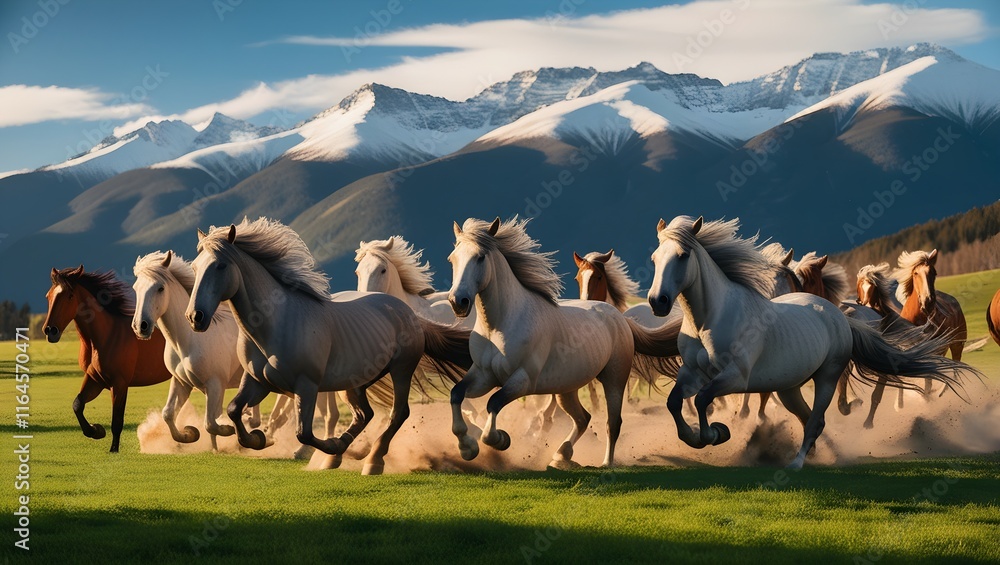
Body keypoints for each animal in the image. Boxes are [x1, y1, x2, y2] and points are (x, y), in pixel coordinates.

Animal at [42, 266, 173, 452]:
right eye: (49, 296)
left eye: (70, 296)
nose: (50, 331)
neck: (106, 336)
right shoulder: (95, 380)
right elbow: (77, 404)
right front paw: (96, 430)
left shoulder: (119, 384)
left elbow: (117, 421)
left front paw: (113, 449)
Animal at [132, 251, 263, 451]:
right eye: (135, 288)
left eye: (160, 288)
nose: (141, 326)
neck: (187, 342)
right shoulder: (181, 383)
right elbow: (168, 414)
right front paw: (189, 434)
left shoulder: (215, 385)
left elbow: (211, 422)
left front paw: (228, 431)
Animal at [185, 217, 472, 475]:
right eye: (195, 267)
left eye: (220, 265)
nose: (195, 317)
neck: (276, 323)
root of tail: (410, 314)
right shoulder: (257, 381)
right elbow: (234, 410)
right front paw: (258, 438)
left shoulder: (307, 386)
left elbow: (304, 433)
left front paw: (328, 445)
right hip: (354, 383)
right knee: (364, 414)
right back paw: (338, 454)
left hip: (401, 370)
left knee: (398, 413)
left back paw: (372, 461)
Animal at [446, 217, 680, 467]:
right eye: (452, 258)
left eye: (480, 257)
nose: (458, 302)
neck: (500, 325)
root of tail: (620, 318)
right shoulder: (483, 375)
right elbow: (456, 394)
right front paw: (467, 447)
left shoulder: (522, 380)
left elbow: (494, 403)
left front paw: (500, 439)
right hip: (566, 389)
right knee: (582, 418)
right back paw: (561, 454)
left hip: (614, 379)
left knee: (612, 422)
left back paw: (606, 463)